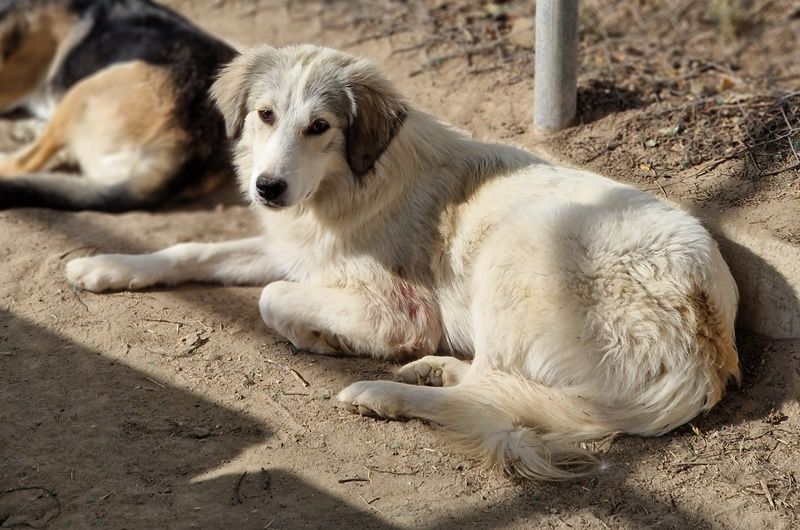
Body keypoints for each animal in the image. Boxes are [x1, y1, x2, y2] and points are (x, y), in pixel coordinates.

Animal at [65, 44, 740, 479]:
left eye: (320, 127)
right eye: (265, 115)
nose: (267, 189)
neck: (351, 182)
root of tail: (706, 345)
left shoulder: (401, 309)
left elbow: (272, 298)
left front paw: (323, 339)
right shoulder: (294, 248)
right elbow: (195, 250)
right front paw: (109, 264)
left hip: (515, 252)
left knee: (492, 392)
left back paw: (384, 391)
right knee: (494, 387)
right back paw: (432, 373)